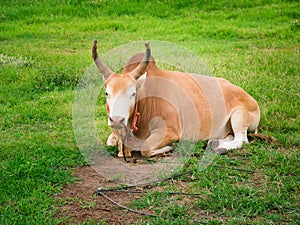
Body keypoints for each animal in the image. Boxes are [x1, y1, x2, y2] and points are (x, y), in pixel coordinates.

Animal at [92, 41, 262, 159]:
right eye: (107, 93)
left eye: (133, 93)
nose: (116, 120)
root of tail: (250, 98)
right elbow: (110, 141)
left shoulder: (170, 131)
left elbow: (145, 148)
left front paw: (169, 148)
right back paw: (215, 142)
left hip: (239, 116)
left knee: (242, 140)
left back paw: (221, 148)